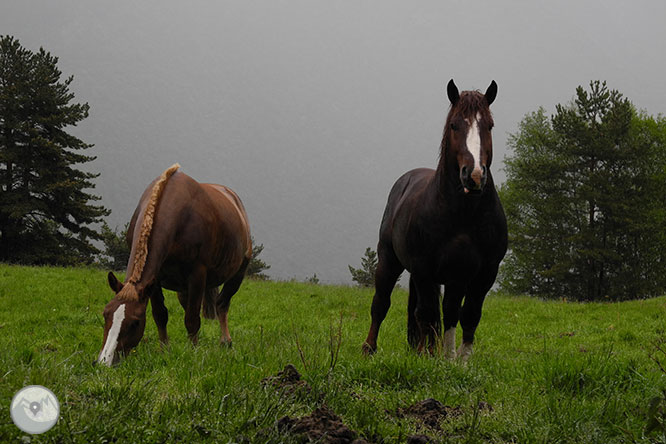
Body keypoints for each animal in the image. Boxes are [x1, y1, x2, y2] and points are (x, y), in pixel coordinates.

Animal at [93, 165, 249, 366]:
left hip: (238, 273)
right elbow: (160, 314)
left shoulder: (197, 274)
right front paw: (164, 350)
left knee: (222, 304)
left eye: (135, 322)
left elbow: (192, 319)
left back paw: (225, 341)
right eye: (106, 314)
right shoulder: (154, 280)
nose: (105, 361)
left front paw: (193, 353)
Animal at [360, 80, 506, 360]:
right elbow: (427, 314)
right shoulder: (423, 269)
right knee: (383, 304)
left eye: (489, 125)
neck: (463, 215)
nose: (474, 176)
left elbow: (466, 316)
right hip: (389, 260)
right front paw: (432, 360)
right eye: (454, 125)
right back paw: (370, 348)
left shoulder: (482, 274)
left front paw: (457, 362)